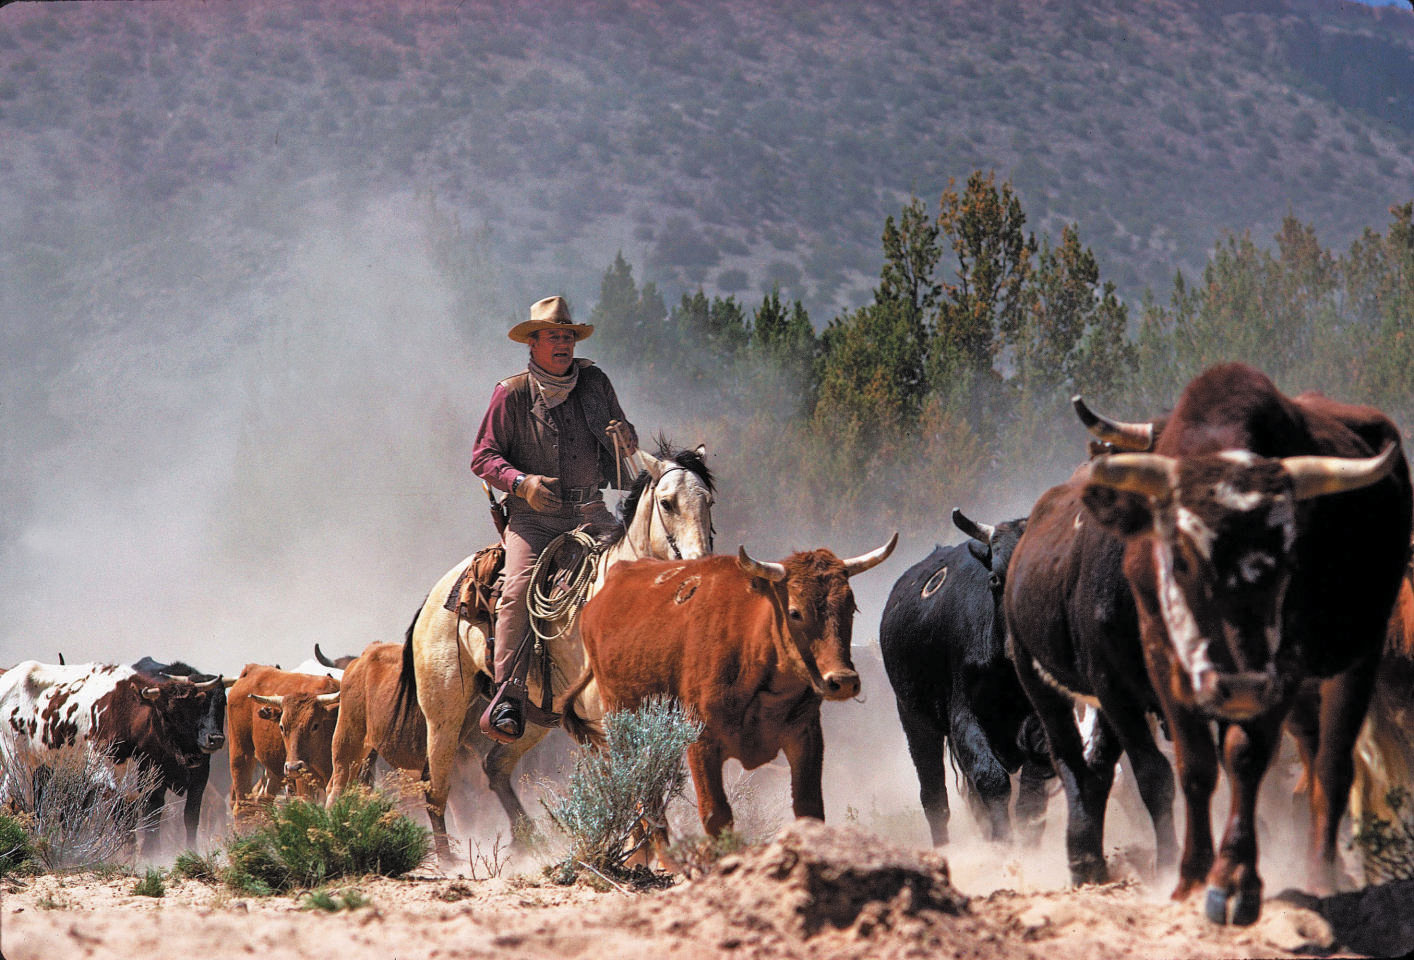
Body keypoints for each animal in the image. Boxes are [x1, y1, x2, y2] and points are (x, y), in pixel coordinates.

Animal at [131, 656, 227, 842]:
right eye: (199, 703)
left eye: (223, 703)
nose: (216, 739)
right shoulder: (154, 778)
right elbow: (153, 814)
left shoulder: (200, 778)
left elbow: (191, 816)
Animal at [393, 441, 712, 853]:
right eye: (667, 502)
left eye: (708, 500)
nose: (701, 565)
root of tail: (434, 597)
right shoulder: (604, 717)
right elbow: (639, 792)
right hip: (443, 711)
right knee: (435, 789)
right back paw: (451, 859)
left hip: (532, 717)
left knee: (495, 766)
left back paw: (531, 841)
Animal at [554, 537, 893, 842]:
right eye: (795, 612)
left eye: (852, 607)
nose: (843, 680)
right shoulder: (701, 740)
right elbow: (715, 814)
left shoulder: (806, 735)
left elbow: (809, 808)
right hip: (625, 727)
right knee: (646, 800)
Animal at [882, 506, 1052, 842]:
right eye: (995, 578)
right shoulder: (964, 716)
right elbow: (991, 779)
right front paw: (1004, 843)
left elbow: (1031, 792)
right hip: (915, 721)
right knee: (934, 797)